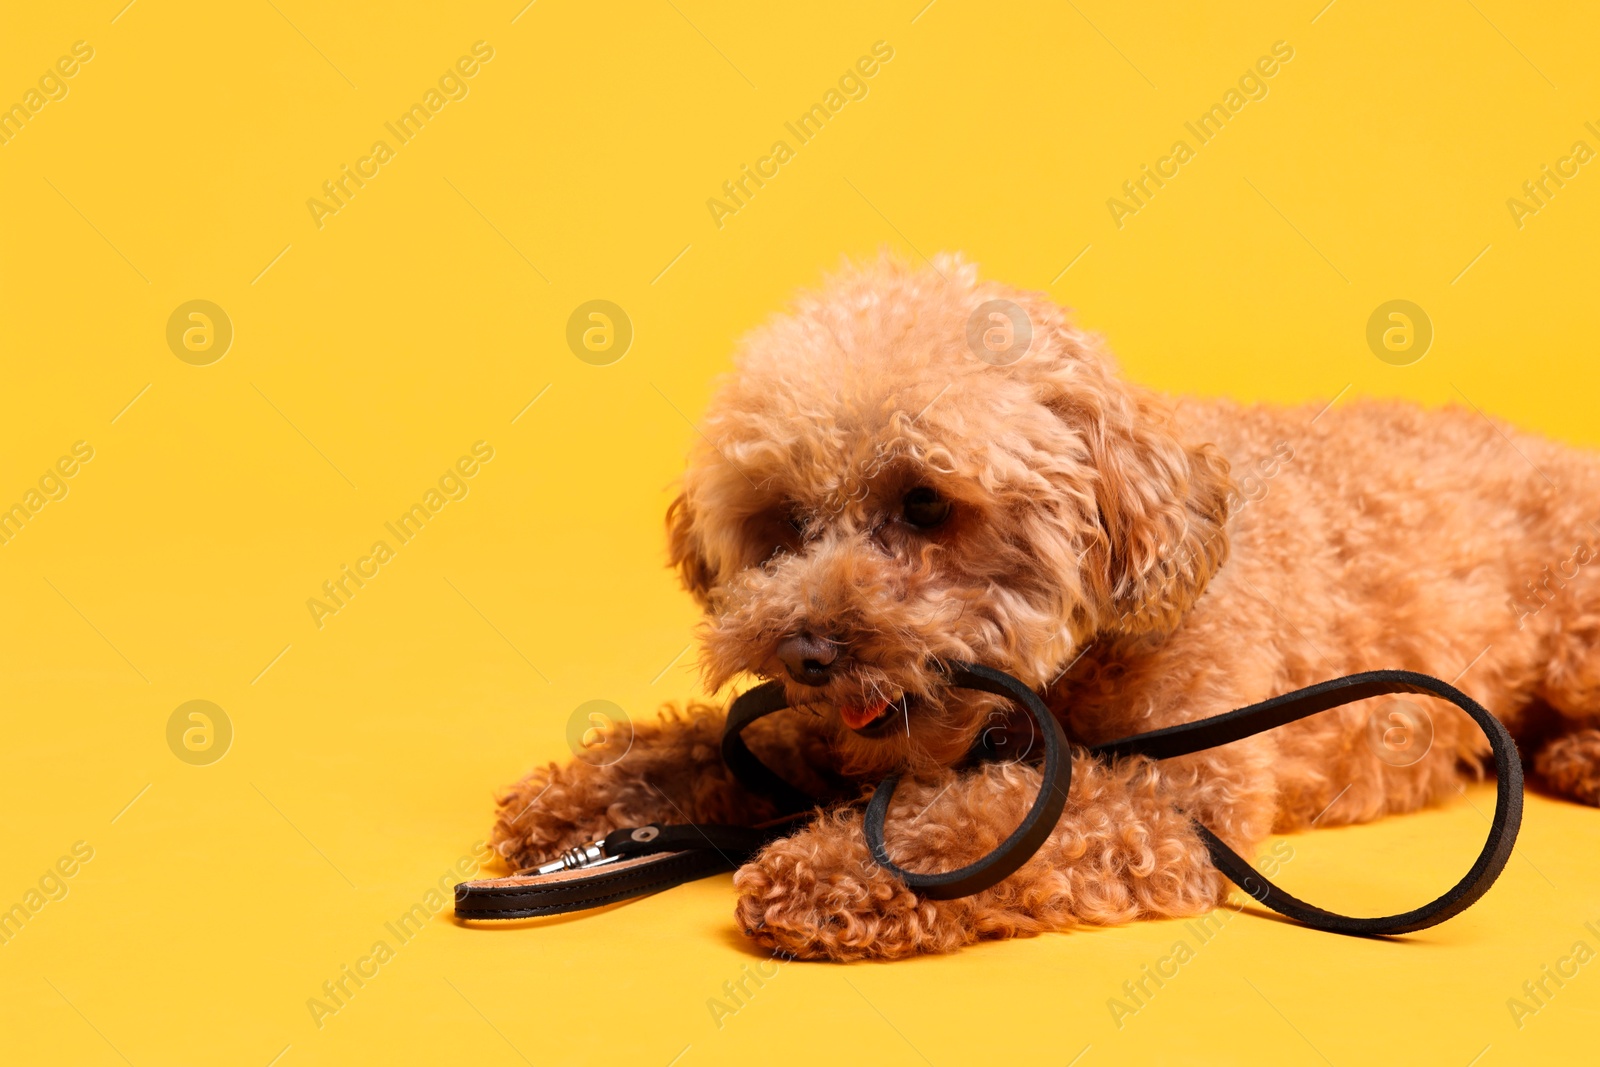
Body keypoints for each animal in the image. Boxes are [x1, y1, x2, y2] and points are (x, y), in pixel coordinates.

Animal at [489, 255, 1600, 959]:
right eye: (781, 521)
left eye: (925, 503)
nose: (806, 647)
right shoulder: (830, 737)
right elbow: (705, 748)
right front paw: (578, 802)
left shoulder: (1182, 801)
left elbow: (1001, 814)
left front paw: (828, 869)